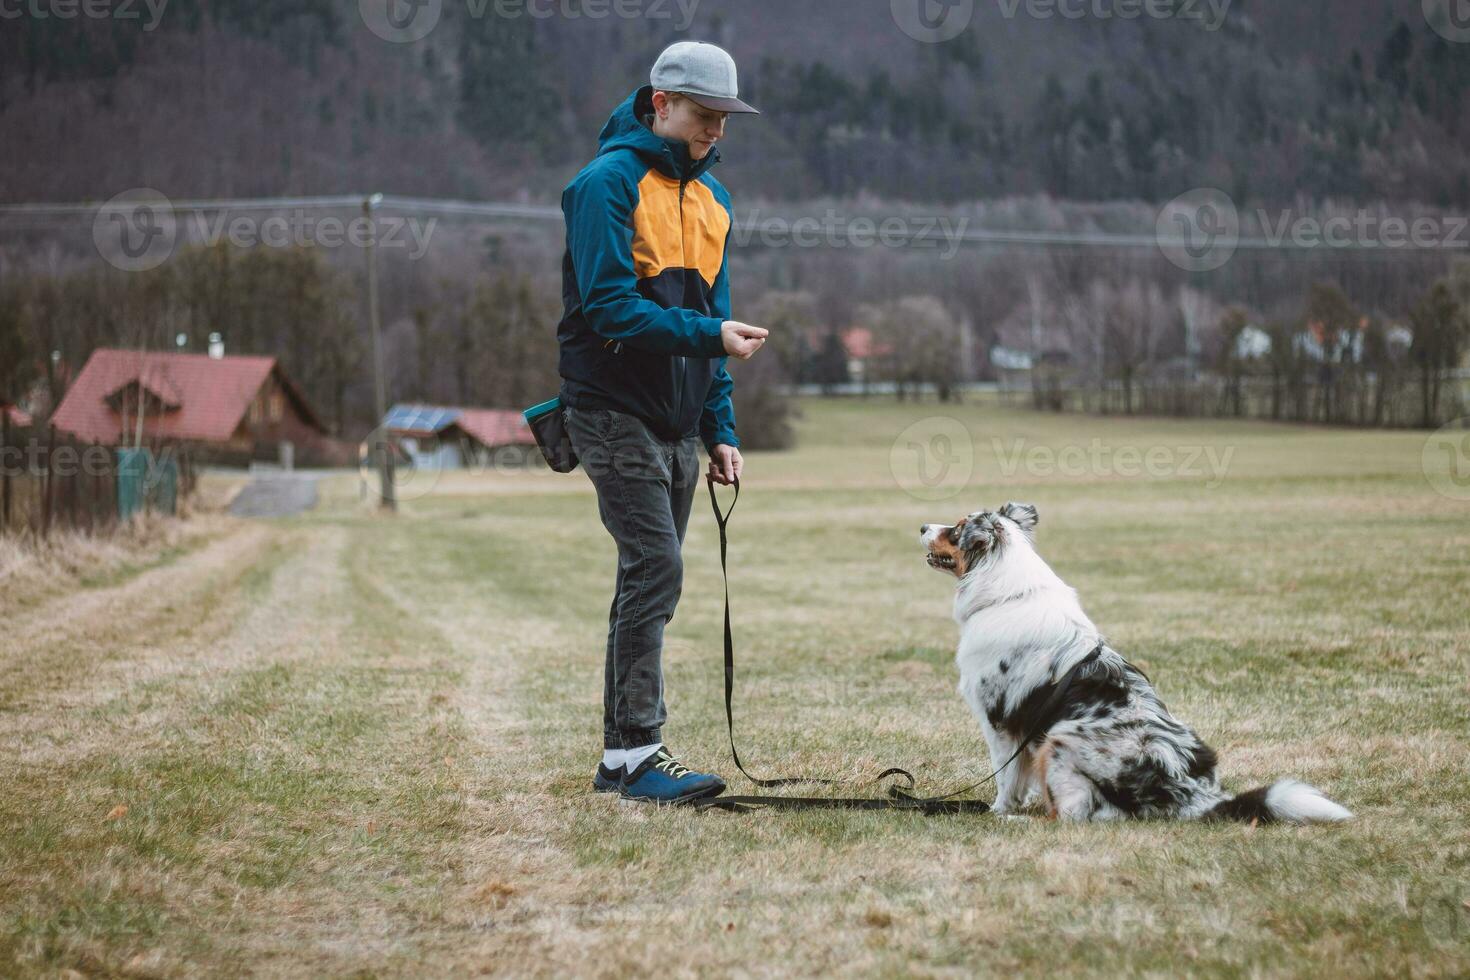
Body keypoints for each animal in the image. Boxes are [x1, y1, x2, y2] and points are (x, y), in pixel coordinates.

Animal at [917, 502, 1352, 822]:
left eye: (956, 529)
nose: (921, 525)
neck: (1007, 592)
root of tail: (1191, 794)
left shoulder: (1000, 722)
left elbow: (1006, 778)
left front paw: (999, 811)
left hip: (1060, 739)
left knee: (1076, 816)